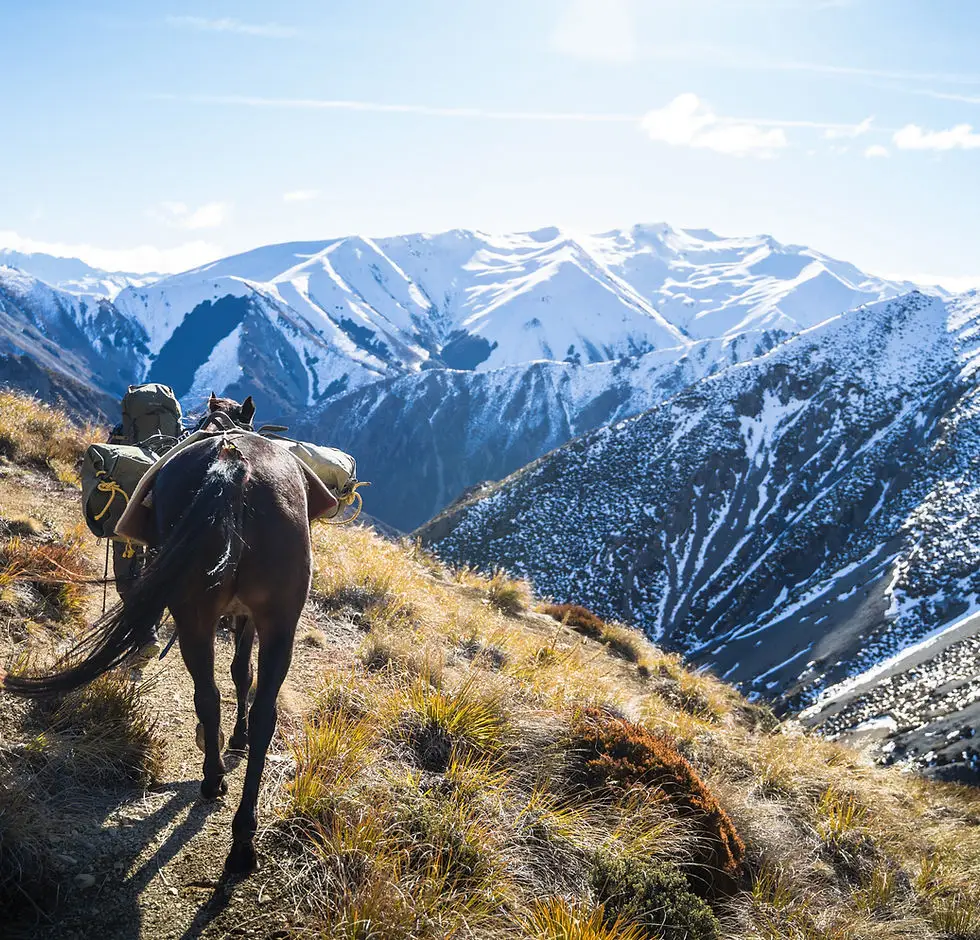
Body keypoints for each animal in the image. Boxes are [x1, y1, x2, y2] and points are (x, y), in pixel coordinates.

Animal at [4, 394, 329, 874]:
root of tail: (233, 461)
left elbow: (239, 675)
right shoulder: (248, 618)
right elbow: (241, 675)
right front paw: (235, 739)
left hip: (222, 615)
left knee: (220, 698)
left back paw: (230, 813)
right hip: (260, 620)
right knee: (237, 705)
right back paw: (229, 814)